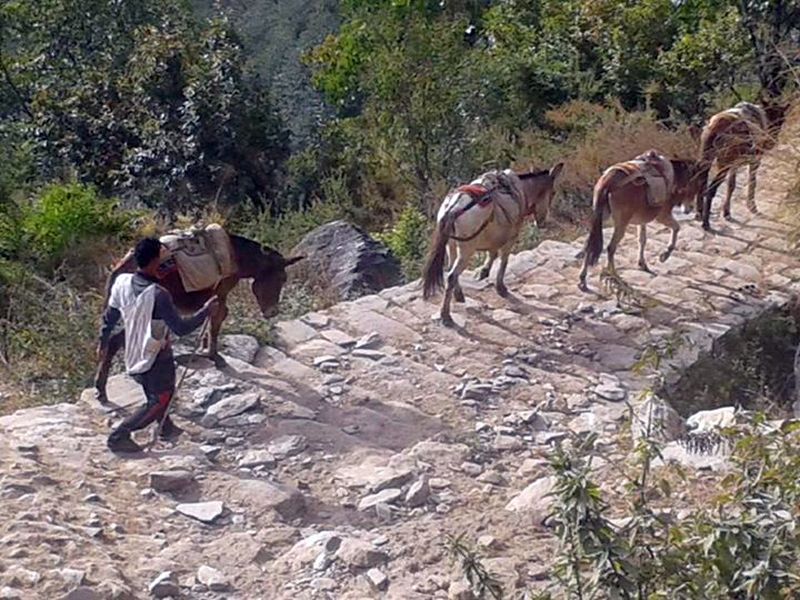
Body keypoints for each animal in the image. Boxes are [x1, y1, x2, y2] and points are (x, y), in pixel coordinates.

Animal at [422, 164, 564, 326]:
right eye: (553, 193)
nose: (541, 222)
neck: (521, 190)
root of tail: (452, 209)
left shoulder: (494, 236)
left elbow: (492, 253)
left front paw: (484, 271)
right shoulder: (511, 238)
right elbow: (503, 260)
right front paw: (500, 287)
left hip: (451, 245)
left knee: (451, 270)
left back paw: (458, 295)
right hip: (466, 250)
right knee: (452, 275)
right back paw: (446, 315)